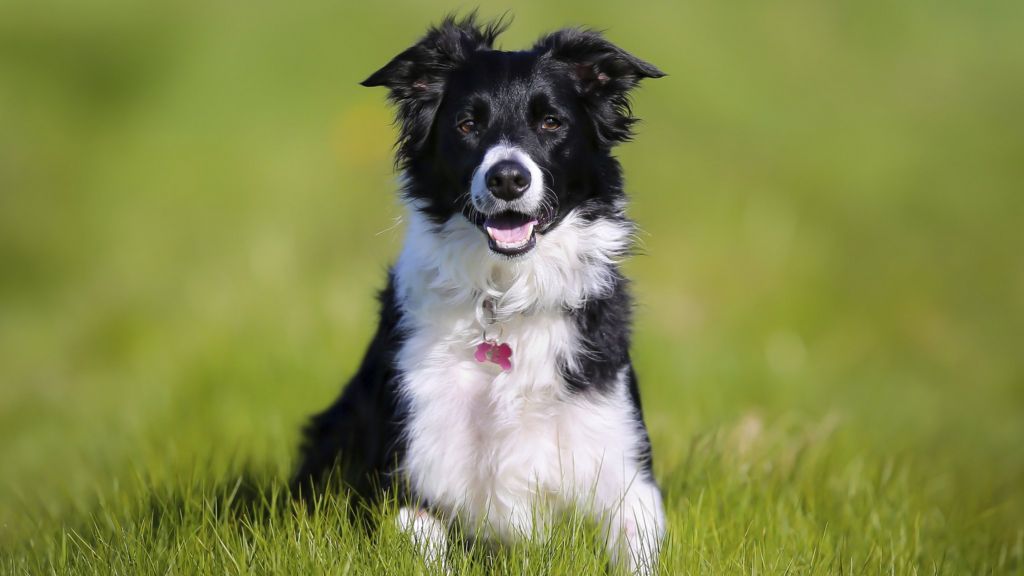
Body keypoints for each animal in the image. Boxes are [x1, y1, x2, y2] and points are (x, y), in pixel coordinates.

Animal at [292, 14, 667, 573]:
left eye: (551, 123)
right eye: (467, 126)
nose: (507, 178)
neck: (506, 297)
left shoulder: (625, 470)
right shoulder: (409, 474)